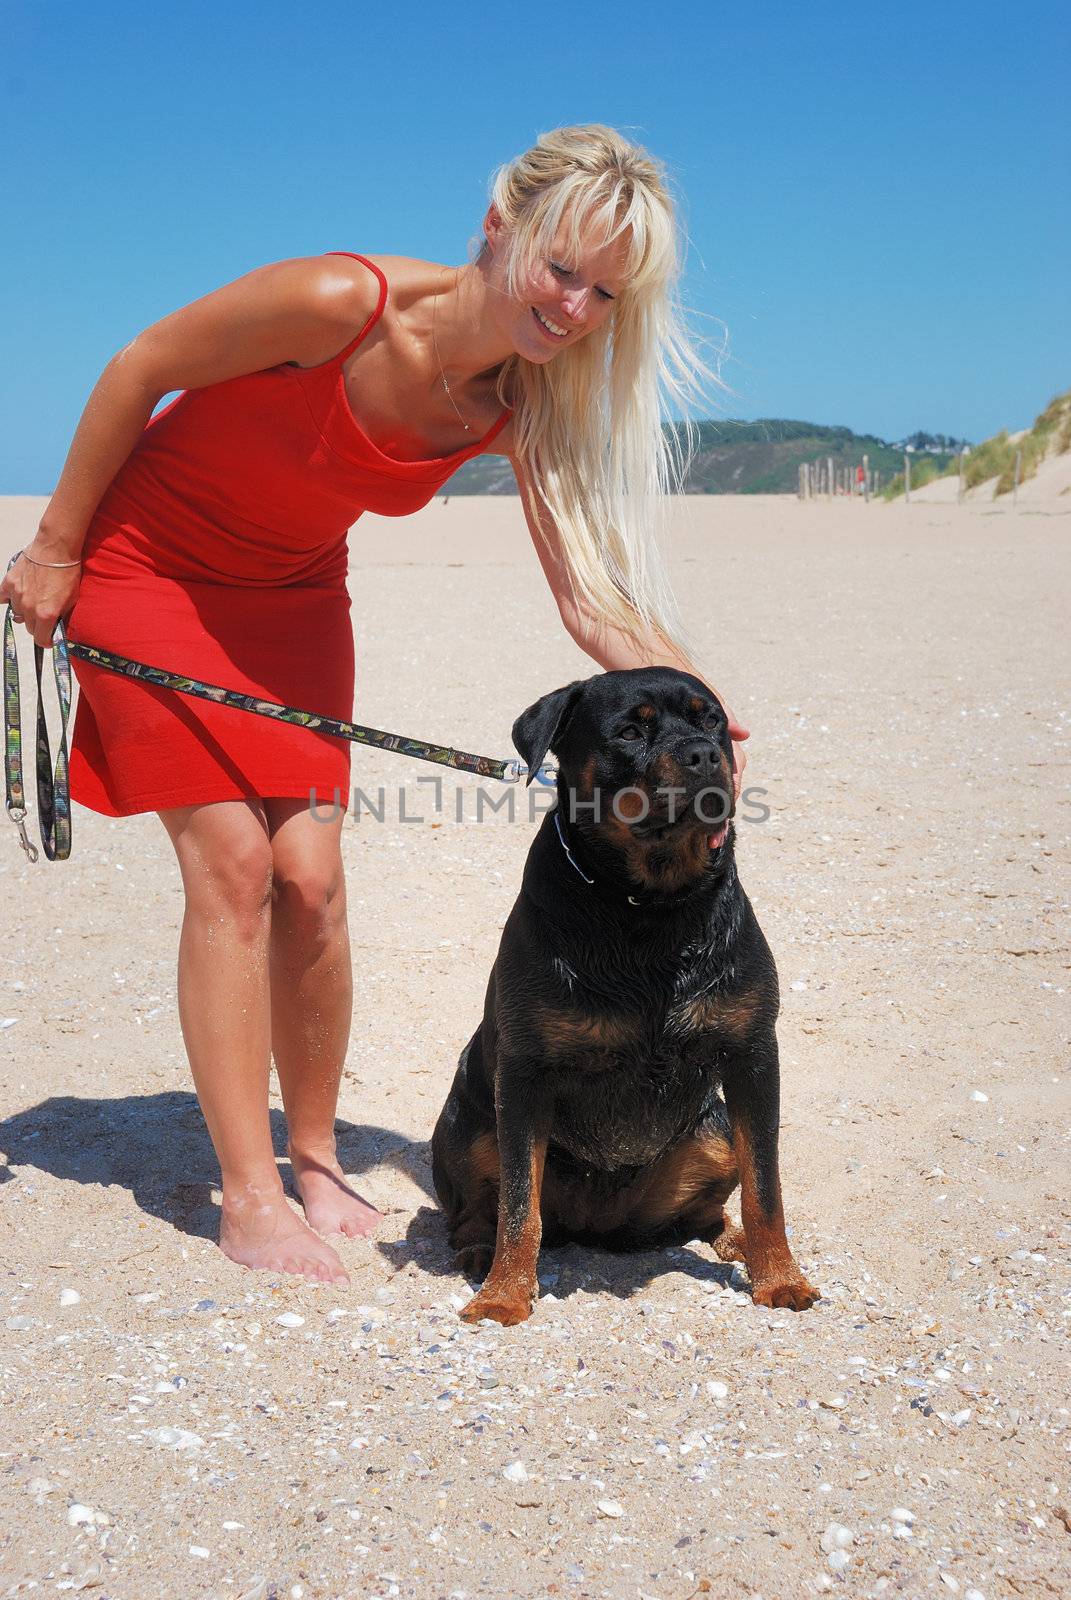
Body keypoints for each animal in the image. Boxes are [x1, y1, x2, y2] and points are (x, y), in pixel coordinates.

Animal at [429, 662, 813, 1324]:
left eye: (712, 720)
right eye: (631, 732)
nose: (704, 753)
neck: (648, 907)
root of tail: (600, 1225)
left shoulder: (753, 1055)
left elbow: (767, 1188)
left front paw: (780, 1276)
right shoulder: (525, 1072)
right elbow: (518, 1204)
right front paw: (505, 1294)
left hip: (712, 1133)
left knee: (711, 1209)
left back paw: (734, 1241)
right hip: (469, 1119)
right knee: (480, 1202)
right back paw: (478, 1250)